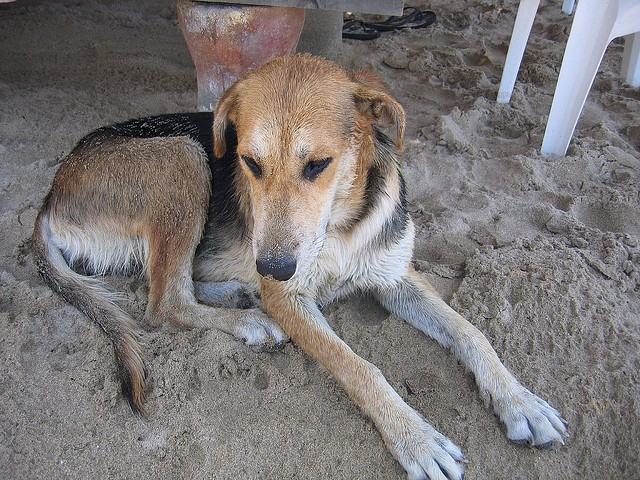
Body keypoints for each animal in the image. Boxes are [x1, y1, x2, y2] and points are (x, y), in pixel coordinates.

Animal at [32, 54, 568, 478]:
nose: (271, 267)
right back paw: (248, 320)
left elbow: (471, 332)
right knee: (162, 301)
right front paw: (416, 439)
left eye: (318, 165)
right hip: (181, 157)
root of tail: (52, 193)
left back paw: (237, 294)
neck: (341, 225)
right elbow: (360, 367)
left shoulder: (395, 276)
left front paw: (521, 401)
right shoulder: (289, 298)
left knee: (169, 287)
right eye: (249, 163)